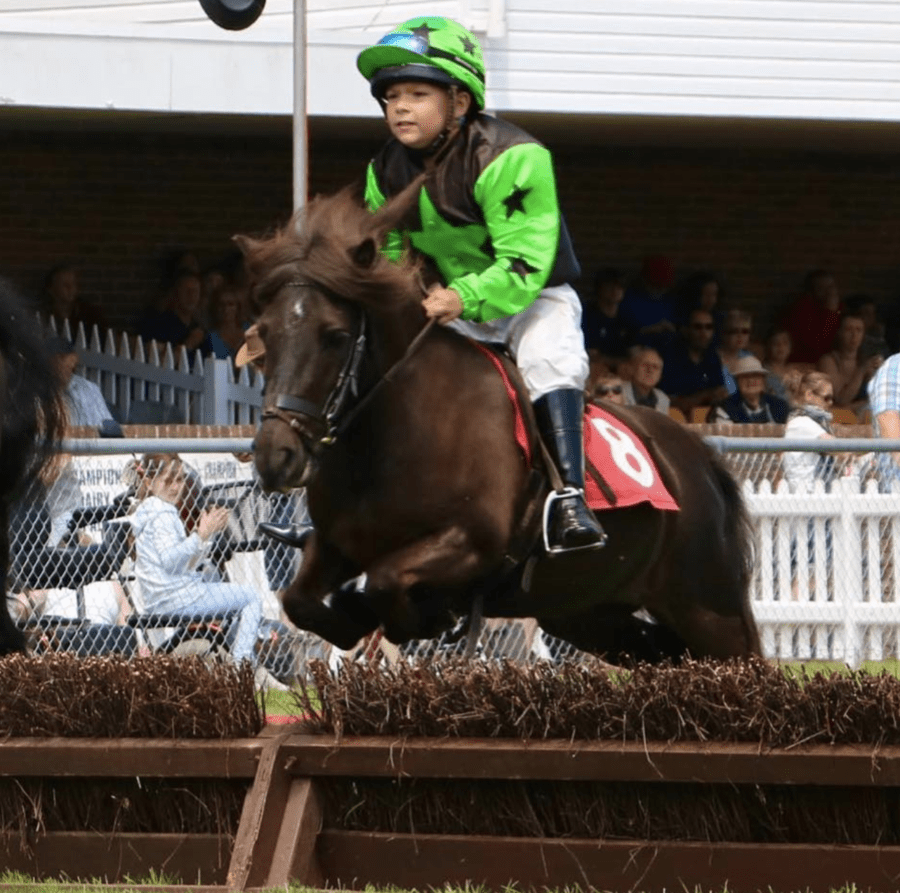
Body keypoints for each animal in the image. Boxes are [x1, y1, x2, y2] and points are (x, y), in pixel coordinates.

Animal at [239, 186, 760, 664]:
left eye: (335, 335)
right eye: (264, 334)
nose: (275, 455)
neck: (393, 436)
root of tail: (698, 458)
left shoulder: (471, 542)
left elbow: (385, 582)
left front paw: (415, 614)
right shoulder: (335, 545)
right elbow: (300, 601)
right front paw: (356, 615)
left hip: (709, 610)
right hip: (585, 612)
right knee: (657, 648)